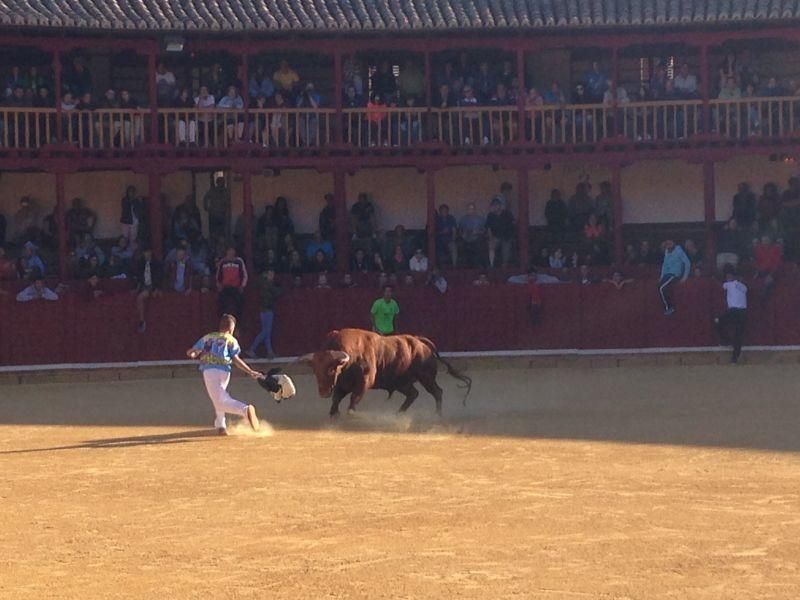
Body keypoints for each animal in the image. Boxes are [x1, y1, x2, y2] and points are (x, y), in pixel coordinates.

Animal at [300, 328, 476, 418]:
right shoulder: (342, 384)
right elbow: (336, 398)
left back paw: (437, 414)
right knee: (413, 394)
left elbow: (354, 398)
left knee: (437, 392)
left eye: (331, 369)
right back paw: (399, 413)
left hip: (426, 377)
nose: (323, 392)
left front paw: (350, 413)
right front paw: (334, 413)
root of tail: (420, 342)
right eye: (315, 370)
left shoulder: (365, 381)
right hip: (401, 382)